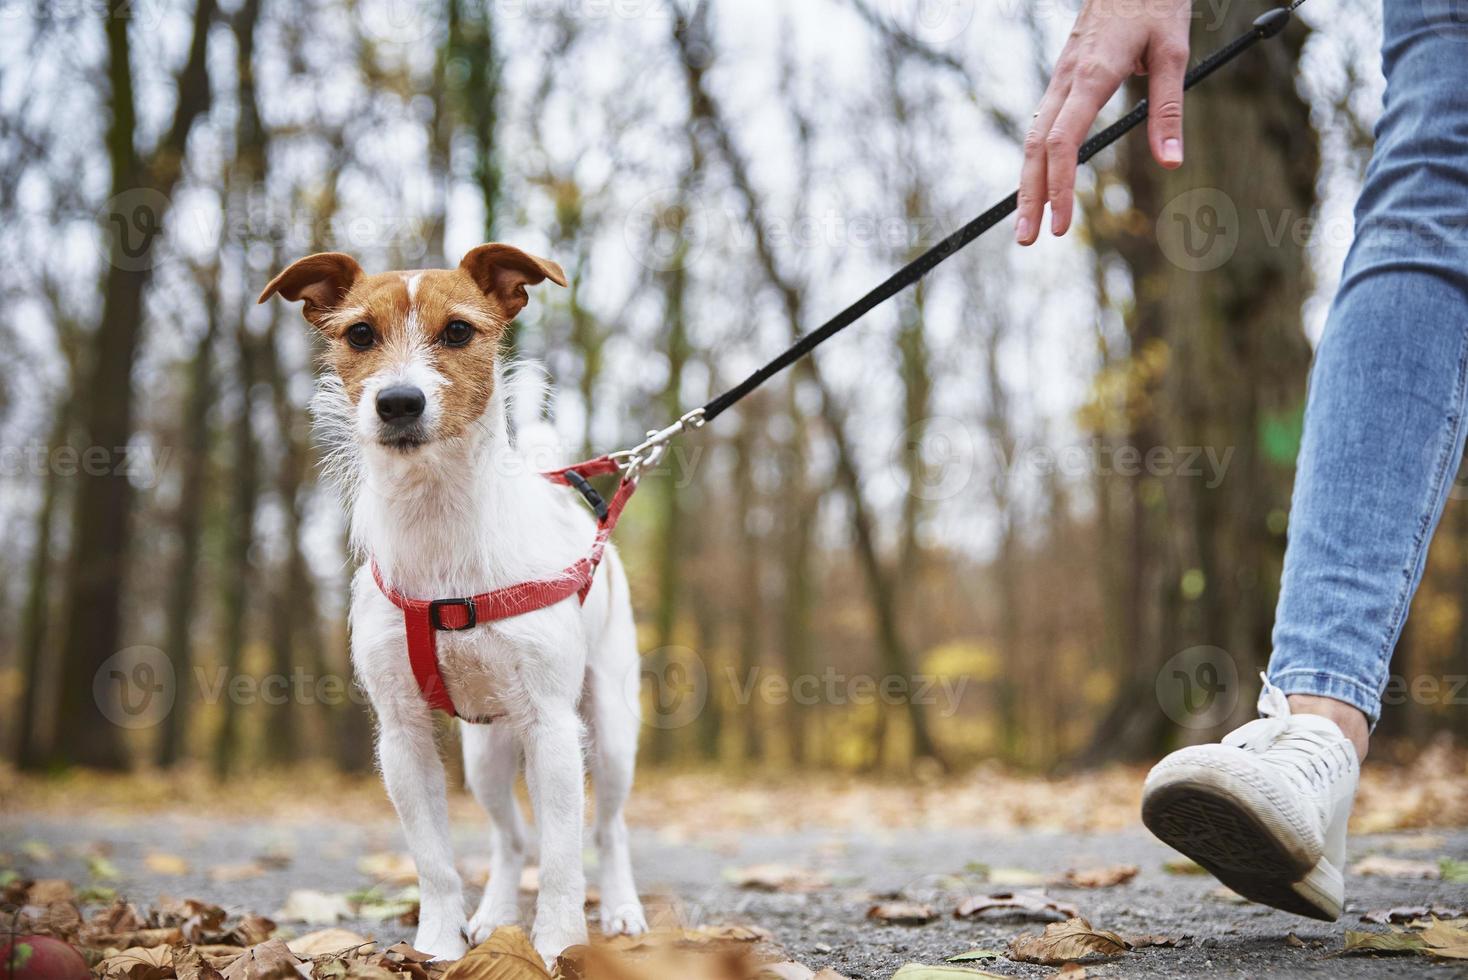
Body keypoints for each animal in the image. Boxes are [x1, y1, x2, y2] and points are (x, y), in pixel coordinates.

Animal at [259, 244, 648, 962]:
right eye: (360, 334)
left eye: (460, 331)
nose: (398, 401)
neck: (439, 523)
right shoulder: (403, 735)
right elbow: (435, 860)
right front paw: (438, 945)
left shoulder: (554, 728)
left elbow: (562, 858)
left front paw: (557, 945)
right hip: (486, 754)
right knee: (509, 836)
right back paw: (494, 915)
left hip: (610, 730)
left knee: (607, 830)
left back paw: (623, 910)